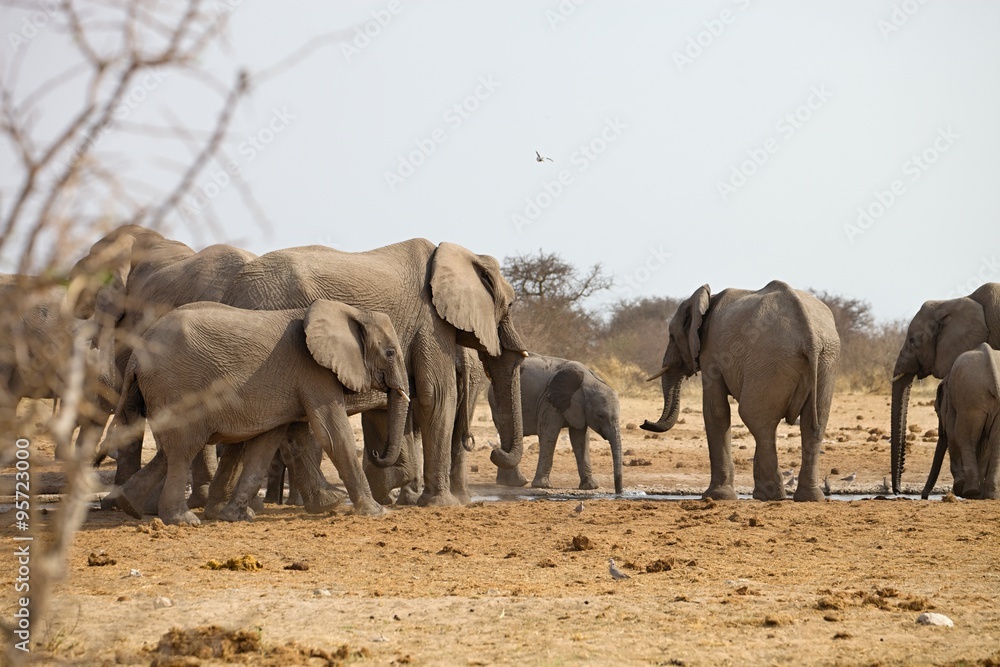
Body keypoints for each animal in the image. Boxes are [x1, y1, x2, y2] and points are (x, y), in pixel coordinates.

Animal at [98, 299, 409, 524]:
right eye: (391, 353)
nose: (377, 452)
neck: (353, 311)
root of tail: (136, 354)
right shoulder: (314, 372)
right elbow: (332, 433)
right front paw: (376, 512)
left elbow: (267, 443)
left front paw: (236, 517)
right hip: (175, 387)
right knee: (183, 450)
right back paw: (182, 520)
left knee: (170, 451)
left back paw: (129, 505)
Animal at [218, 238, 528, 507]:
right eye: (511, 305)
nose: (494, 451)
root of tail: (233, 292)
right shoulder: (430, 322)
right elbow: (436, 396)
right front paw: (440, 504)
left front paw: (394, 490)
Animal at [488, 354, 623, 494]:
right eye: (600, 416)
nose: (619, 492)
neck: (589, 381)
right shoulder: (549, 401)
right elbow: (549, 434)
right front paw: (543, 486)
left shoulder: (579, 410)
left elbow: (580, 439)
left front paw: (590, 486)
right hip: (497, 402)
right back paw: (516, 482)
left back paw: (508, 482)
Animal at [641, 281, 840, 502]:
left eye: (671, 336)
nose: (644, 422)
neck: (708, 300)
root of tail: (810, 338)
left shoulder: (711, 351)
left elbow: (716, 411)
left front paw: (716, 496)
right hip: (826, 361)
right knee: (813, 424)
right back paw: (807, 497)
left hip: (770, 360)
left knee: (756, 419)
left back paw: (769, 496)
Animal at [921, 343, 1000, 500]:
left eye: (936, 410)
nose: (923, 496)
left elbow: (952, 433)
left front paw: (961, 488)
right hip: (974, 397)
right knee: (994, 442)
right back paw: (990, 495)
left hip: (971, 398)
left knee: (964, 436)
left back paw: (970, 491)